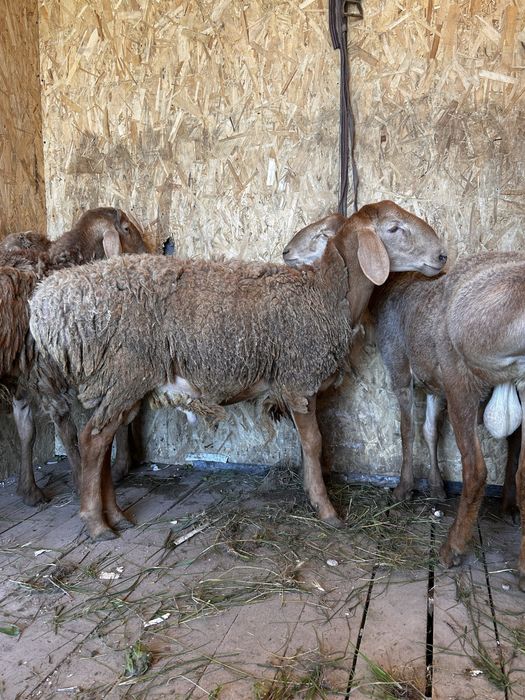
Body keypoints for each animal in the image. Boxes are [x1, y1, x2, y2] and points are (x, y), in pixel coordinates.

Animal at [0, 207, 148, 506]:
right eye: (127, 229)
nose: (149, 252)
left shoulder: (24, 373)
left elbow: (26, 431)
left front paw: (29, 490)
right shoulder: (43, 372)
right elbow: (66, 432)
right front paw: (82, 483)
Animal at [28, 200, 446, 541]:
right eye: (394, 228)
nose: (442, 255)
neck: (324, 294)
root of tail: (48, 303)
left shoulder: (296, 384)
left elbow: (308, 446)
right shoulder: (298, 378)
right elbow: (315, 444)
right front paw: (326, 510)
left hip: (121, 381)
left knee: (100, 440)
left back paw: (115, 516)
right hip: (125, 373)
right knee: (93, 439)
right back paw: (96, 524)